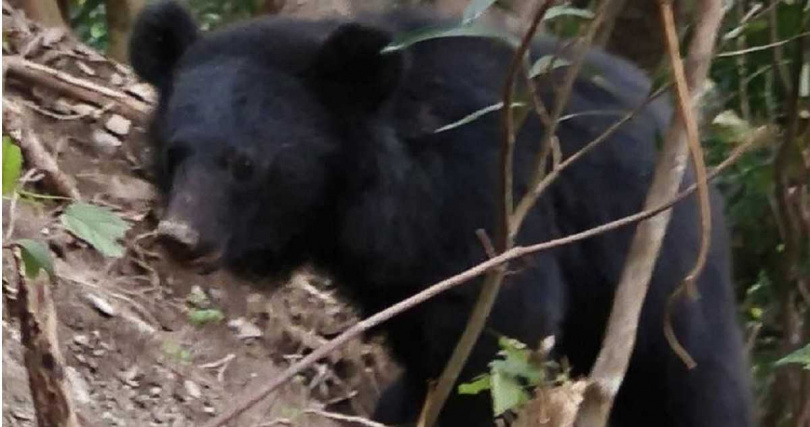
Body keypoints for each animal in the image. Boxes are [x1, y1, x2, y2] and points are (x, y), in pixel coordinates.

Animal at [128, 1, 752, 426]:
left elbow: (505, 324)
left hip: (664, 280)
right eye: (176, 152)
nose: (181, 236)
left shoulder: (475, 193)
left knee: (692, 384)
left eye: (245, 164)